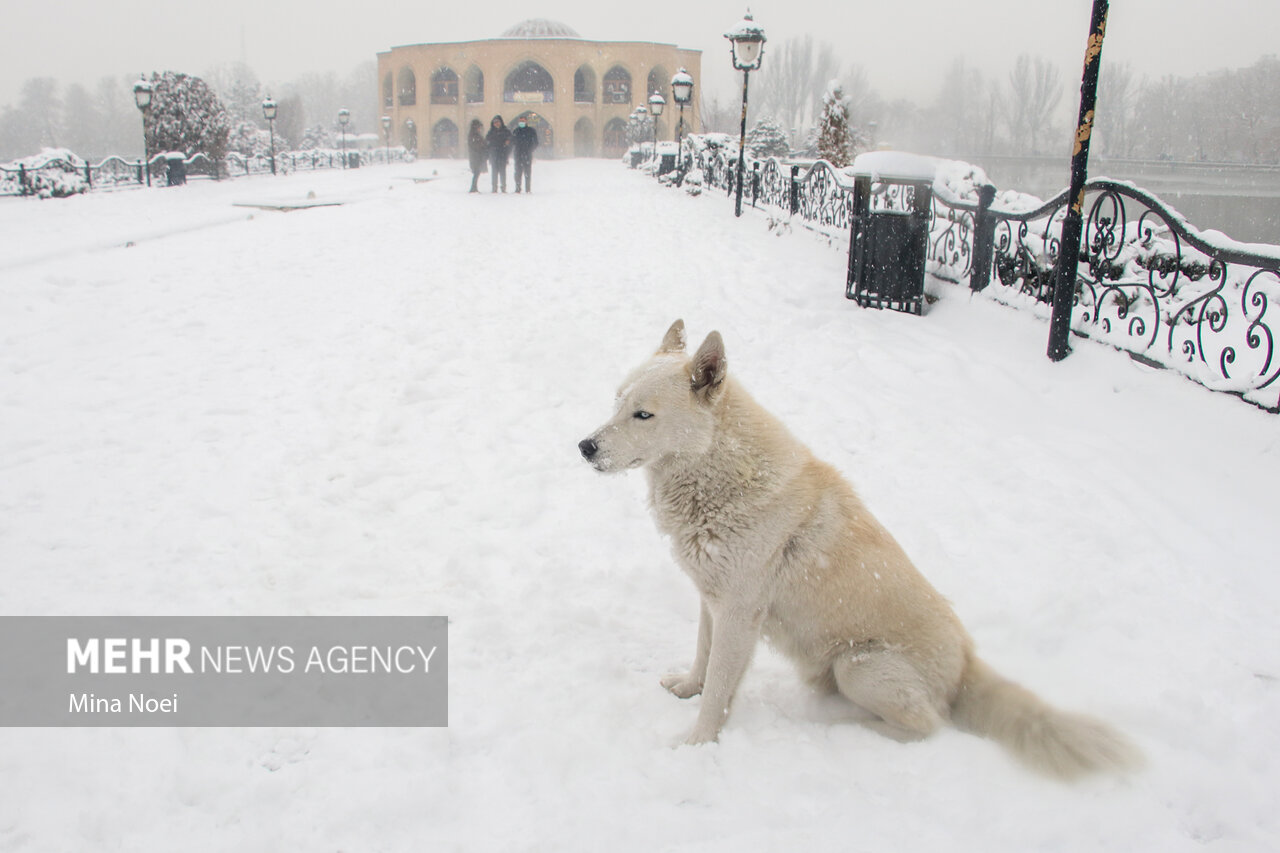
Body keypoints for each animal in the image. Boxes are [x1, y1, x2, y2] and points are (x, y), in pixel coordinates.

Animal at [581, 318, 1141, 778]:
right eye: (616, 401)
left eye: (644, 415)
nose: (584, 447)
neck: (722, 477)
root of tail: (966, 664)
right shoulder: (711, 600)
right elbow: (703, 659)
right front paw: (687, 689)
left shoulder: (740, 613)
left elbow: (719, 689)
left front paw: (697, 745)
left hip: (859, 667)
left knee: (926, 725)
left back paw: (843, 729)